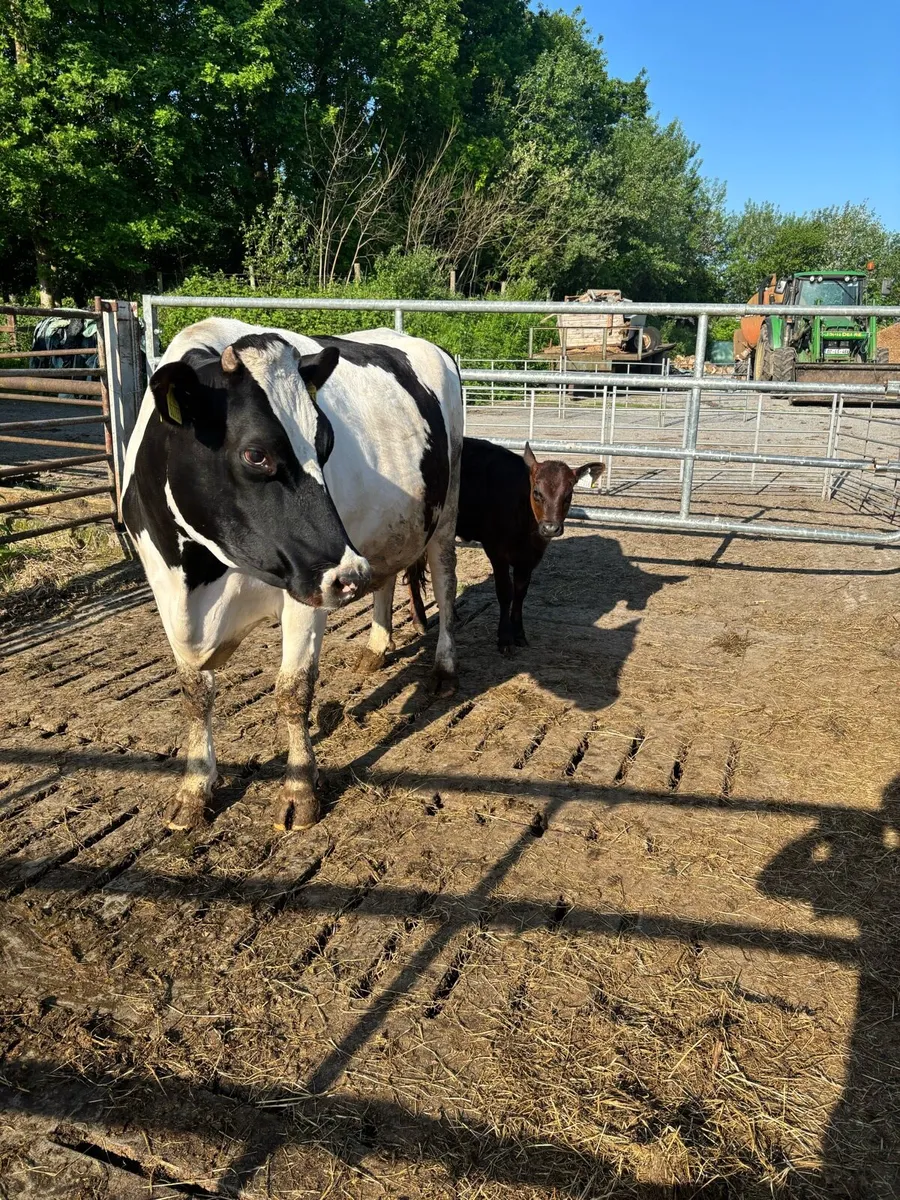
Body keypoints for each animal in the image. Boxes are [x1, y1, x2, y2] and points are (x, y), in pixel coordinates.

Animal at [122, 318, 462, 833]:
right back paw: (376, 647)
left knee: (444, 582)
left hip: (445, 509)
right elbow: (195, 693)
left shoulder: (306, 592)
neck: (198, 576)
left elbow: (293, 690)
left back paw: (443, 667)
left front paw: (300, 789)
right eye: (255, 454)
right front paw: (194, 788)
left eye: (326, 444)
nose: (348, 574)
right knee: (385, 577)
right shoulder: (163, 586)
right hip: (383, 533)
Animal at [406, 438, 603, 654]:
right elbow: (505, 592)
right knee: (412, 571)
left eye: (568, 495)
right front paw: (505, 637)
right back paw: (419, 620)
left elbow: (520, 592)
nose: (550, 528)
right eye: (537, 493)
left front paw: (519, 633)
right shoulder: (496, 551)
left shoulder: (530, 557)